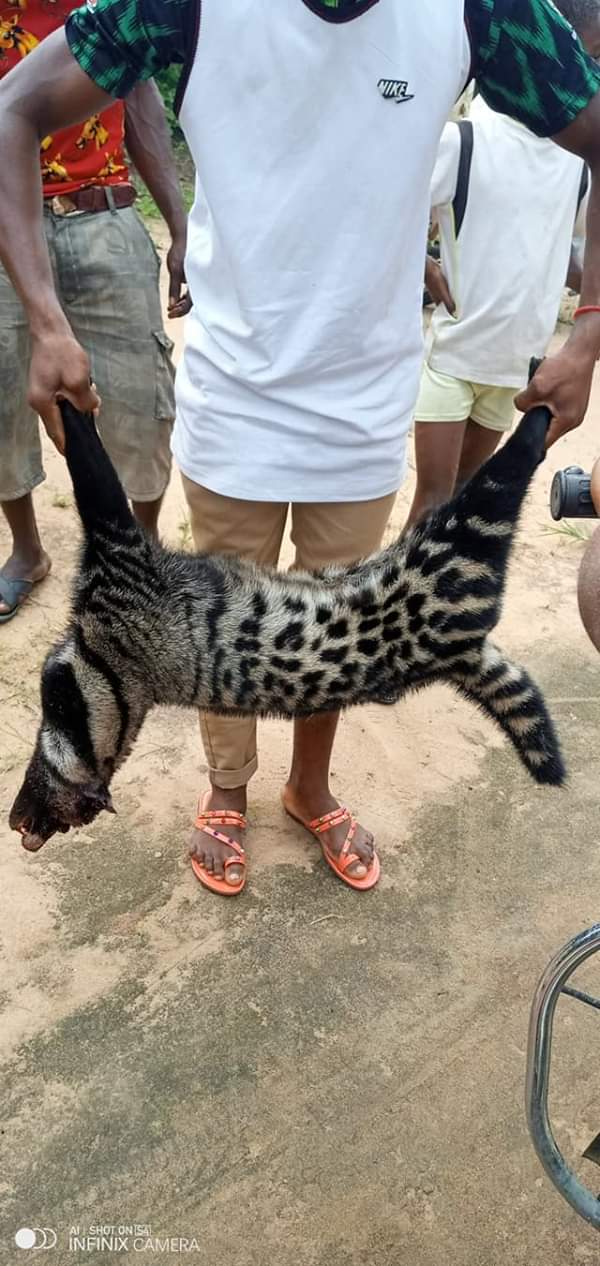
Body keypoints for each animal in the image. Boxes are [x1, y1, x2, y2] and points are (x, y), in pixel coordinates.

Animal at [10, 401, 564, 852]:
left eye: (52, 813)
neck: (122, 693)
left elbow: (92, 473)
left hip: (465, 531)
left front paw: (70, 409)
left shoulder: (120, 560)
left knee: (514, 463)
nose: (19, 825)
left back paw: (538, 418)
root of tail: (459, 649)